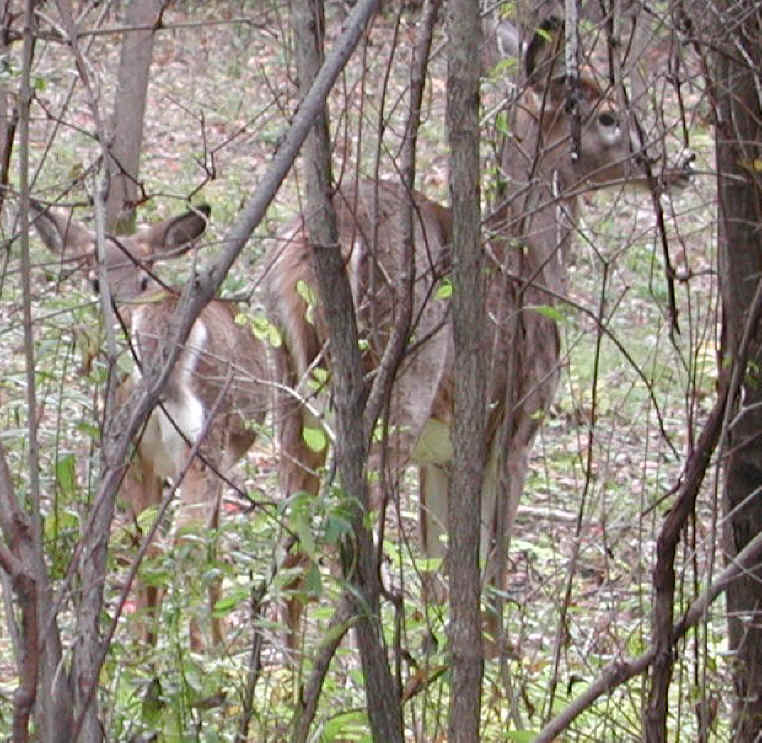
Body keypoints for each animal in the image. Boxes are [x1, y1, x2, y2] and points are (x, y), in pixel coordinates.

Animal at [30, 202, 269, 649]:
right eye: (95, 282)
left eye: (144, 276)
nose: (119, 309)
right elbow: (213, 544)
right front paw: (219, 634)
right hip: (205, 437)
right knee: (187, 541)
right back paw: (201, 651)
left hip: (130, 444)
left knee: (149, 542)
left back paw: (145, 646)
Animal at [262, 14, 691, 650]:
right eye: (610, 115)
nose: (677, 161)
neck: (529, 264)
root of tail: (304, 259)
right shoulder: (514, 429)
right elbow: (492, 582)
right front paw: (486, 663)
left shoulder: (441, 456)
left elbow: (438, 578)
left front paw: (433, 655)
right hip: (399, 383)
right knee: (345, 530)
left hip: (288, 392)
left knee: (292, 542)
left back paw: (289, 669)